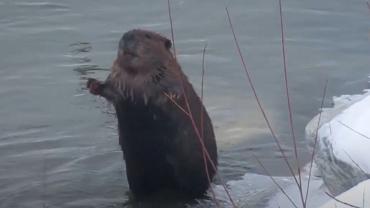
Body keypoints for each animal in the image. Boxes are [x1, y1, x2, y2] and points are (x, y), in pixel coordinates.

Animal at [87, 29, 218, 198]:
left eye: (147, 36)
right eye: (125, 34)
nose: (127, 36)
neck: (136, 75)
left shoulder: (172, 74)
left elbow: (175, 87)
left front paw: (173, 95)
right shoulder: (118, 79)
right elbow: (111, 89)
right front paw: (93, 84)